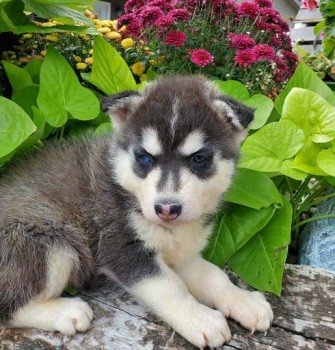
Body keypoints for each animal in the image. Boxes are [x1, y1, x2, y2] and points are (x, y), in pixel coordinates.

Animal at [0, 75, 272, 348]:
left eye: (198, 159)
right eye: (144, 158)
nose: (166, 209)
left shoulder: (180, 253)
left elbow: (214, 276)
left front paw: (245, 301)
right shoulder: (121, 247)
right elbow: (171, 287)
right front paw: (201, 319)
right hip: (48, 241)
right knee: (8, 307)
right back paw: (66, 312)